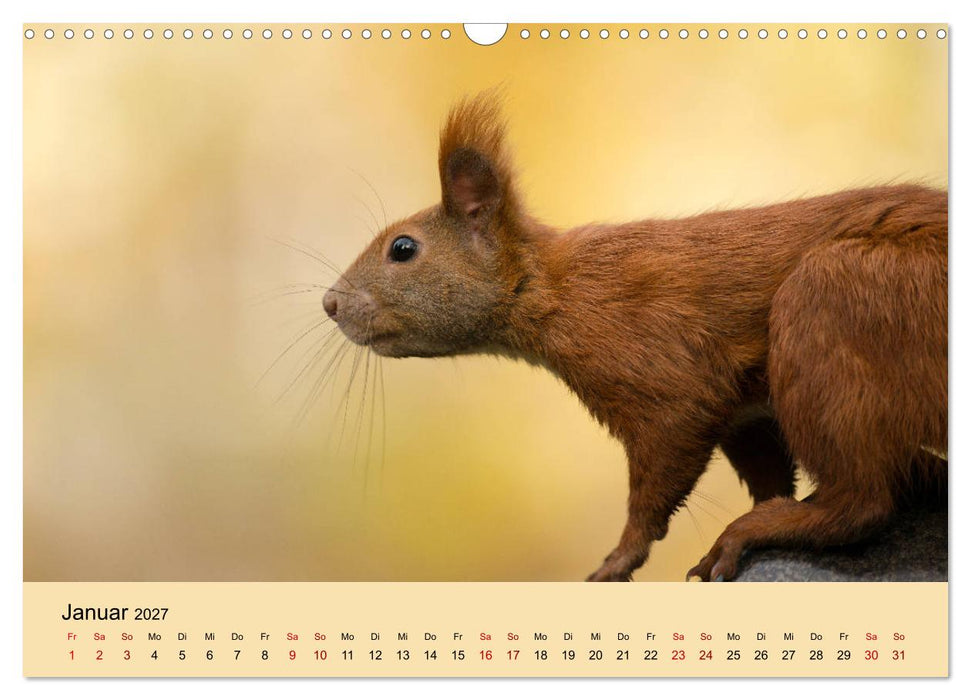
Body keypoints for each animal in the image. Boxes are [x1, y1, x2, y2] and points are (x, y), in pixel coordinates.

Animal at [323, 93, 948, 582]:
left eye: (403, 249)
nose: (330, 304)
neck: (560, 287)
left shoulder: (662, 371)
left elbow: (665, 459)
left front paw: (620, 557)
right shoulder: (744, 412)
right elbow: (768, 467)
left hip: (837, 298)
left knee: (863, 502)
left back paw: (754, 530)